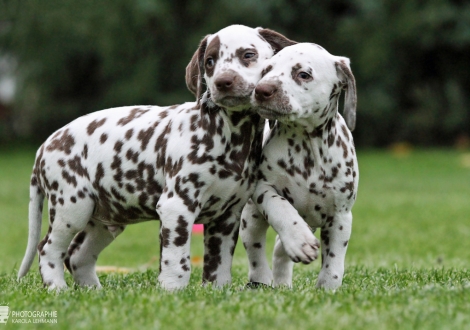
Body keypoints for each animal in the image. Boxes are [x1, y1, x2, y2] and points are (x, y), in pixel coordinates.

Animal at [19, 24, 298, 290]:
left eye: (248, 55)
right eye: (210, 61)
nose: (223, 82)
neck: (230, 135)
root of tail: (45, 145)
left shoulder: (226, 217)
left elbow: (218, 266)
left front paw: (217, 292)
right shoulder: (177, 206)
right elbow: (177, 261)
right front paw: (172, 290)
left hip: (104, 220)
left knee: (77, 256)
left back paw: (92, 291)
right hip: (72, 208)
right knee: (48, 249)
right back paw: (57, 288)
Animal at [241, 42, 358, 288]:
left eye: (303, 74)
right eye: (266, 71)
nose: (262, 90)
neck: (307, 147)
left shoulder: (341, 217)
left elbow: (333, 265)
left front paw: (327, 288)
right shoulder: (262, 186)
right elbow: (280, 207)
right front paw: (299, 240)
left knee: (279, 250)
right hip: (251, 218)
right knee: (257, 252)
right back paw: (263, 280)